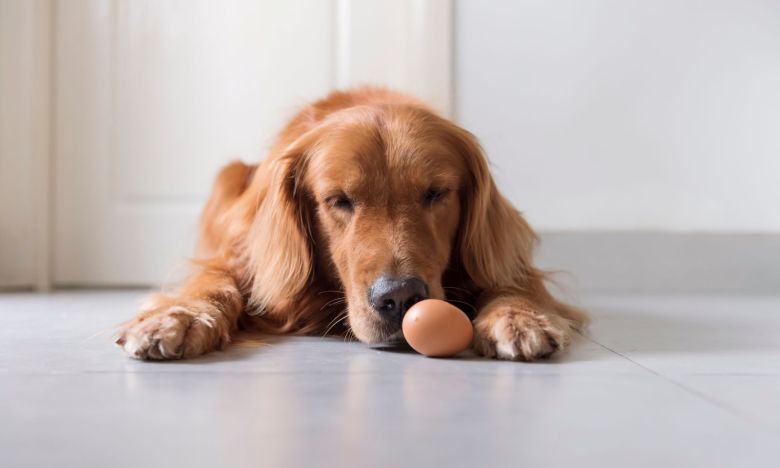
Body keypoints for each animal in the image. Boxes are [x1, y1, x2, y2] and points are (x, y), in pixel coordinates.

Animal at [116, 89, 588, 362]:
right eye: (339, 200)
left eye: (436, 193)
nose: (399, 298)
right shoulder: (243, 253)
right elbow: (214, 279)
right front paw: (178, 316)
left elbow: (512, 279)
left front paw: (517, 317)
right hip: (228, 174)